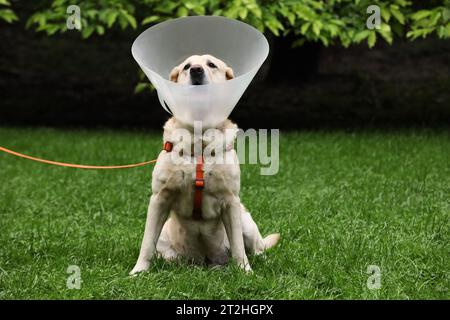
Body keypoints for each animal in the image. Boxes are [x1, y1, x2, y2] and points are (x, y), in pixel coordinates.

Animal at [128, 53, 280, 274]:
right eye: (186, 66)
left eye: (211, 64)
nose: (196, 70)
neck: (199, 142)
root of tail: (206, 261)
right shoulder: (159, 199)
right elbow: (147, 242)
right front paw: (139, 271)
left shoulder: (230, 202)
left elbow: (238, 246)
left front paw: (245, 271)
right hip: (167, 241)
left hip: (245, 220)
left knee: (258, 249)